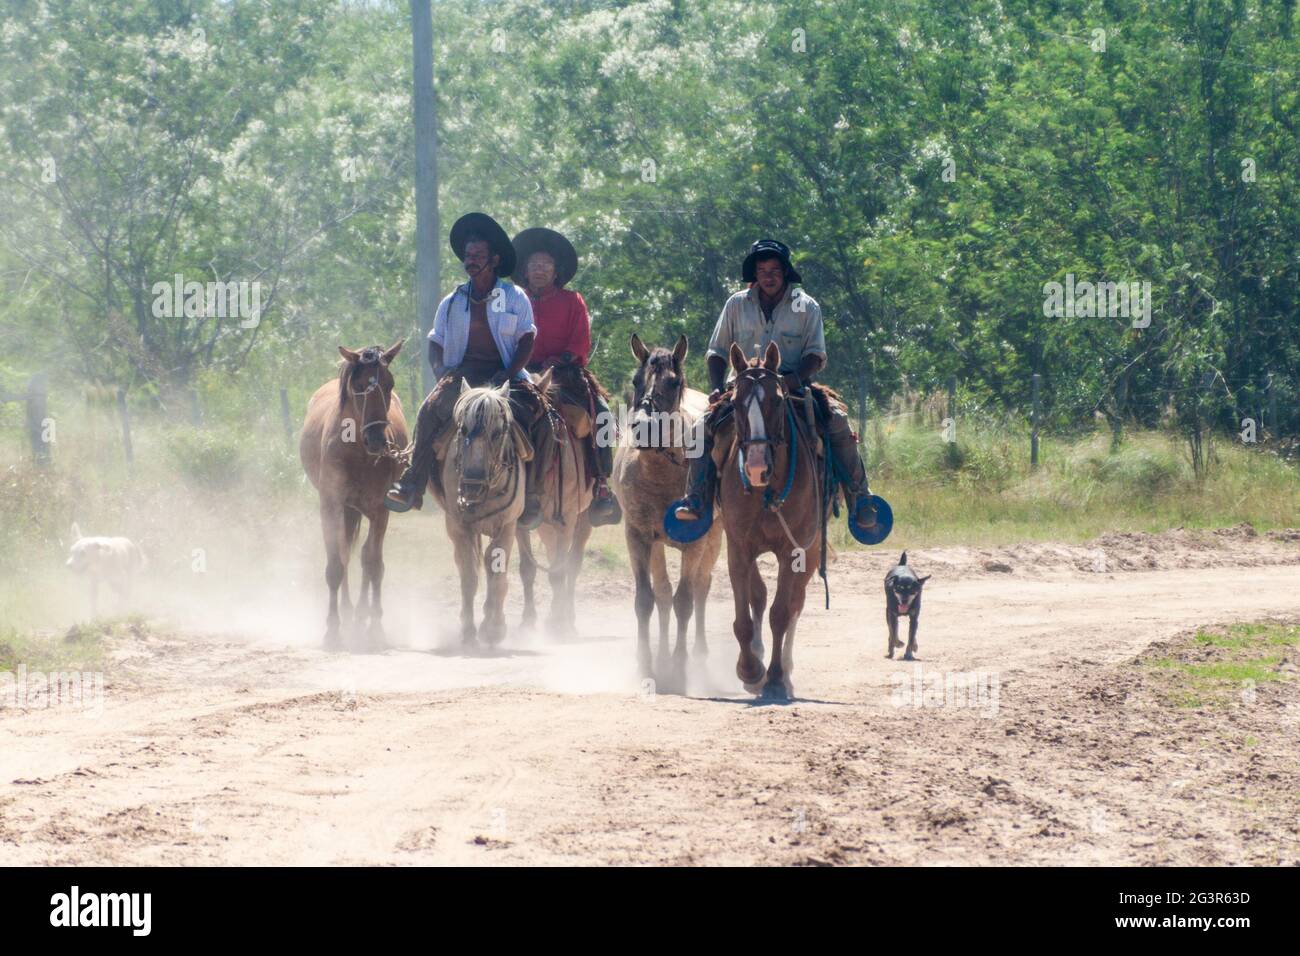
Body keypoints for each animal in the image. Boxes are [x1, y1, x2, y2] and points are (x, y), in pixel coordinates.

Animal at [299, 340, 405, 647]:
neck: (356, 450)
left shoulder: (380, 511)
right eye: (358, 385)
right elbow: (336, 563)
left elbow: (373, 564)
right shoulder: (330, 506)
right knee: (346, 550)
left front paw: (375, 626)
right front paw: (333, 629)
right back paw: (347, 613)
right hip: (346, 510)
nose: (377, 439)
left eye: (389, 383)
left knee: (365, 556)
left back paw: (360, 615)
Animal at [608, 335, 722, 686]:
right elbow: (648, 599)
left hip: (715, 539)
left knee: (701, 587)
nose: (642, 427)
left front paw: (681, 667)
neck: (659, 473)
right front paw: (647, 665)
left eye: (673, 382)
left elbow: (685, 601)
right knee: (662, 593)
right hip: (656, 545)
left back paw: (699, 655)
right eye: (635, 380)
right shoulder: (638, 537)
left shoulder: (696, 543)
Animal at [717, 340, 816, 697]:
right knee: (758, 595)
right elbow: (745, 614)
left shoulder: (792, 550)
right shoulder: (737, 546)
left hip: (812, 551)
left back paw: (785, 671)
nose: (757, 467)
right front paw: (749, 669)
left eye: (777, 400)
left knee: (796, 603)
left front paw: (773, 677)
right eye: (735, 402)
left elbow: (781, 614)